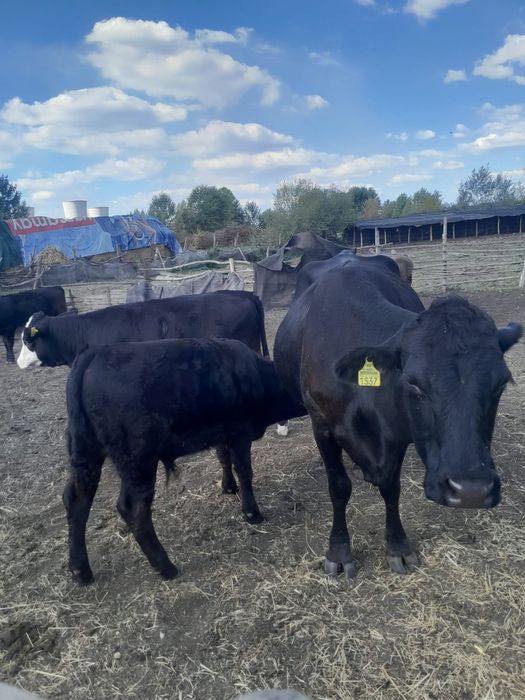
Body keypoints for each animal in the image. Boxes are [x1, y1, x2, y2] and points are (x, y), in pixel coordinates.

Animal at [64, 338, 305, 584]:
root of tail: (94, 354)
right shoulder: (240, 434)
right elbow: (245, 472)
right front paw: (252, 513)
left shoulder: (222, 433)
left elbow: (223, 458)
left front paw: (228, 487)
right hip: (138, 461)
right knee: (134, 509)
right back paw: (166, 567)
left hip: (86, 452)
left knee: (76, 501)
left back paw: (80, 570)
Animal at [273, 260, 522, 577]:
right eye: (413, 384)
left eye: (501, 384)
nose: (471, 490)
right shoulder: (323, 427)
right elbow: (339, 488)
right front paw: (339, 552)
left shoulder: (398, 436)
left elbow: (391, 489)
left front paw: (398, 547)